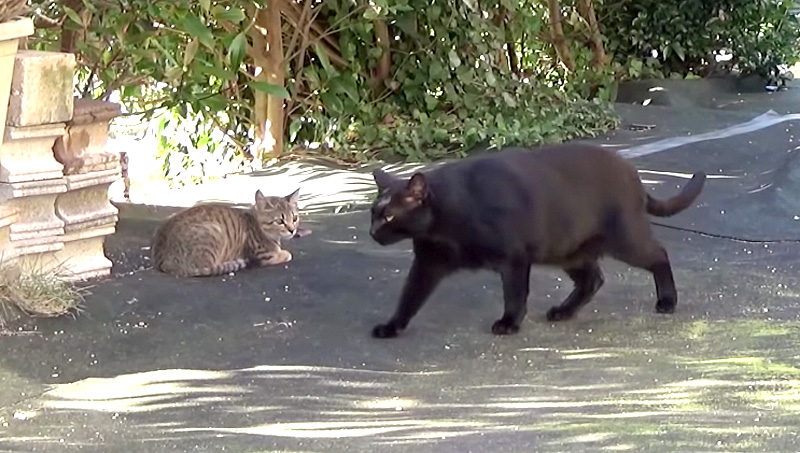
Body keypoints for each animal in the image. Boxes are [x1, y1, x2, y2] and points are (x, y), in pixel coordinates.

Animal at [151, 189, 300, 278]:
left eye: (294, 218)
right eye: (280, 221)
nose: (292, 230)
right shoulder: (263, 255)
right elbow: (285, 255)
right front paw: (285, 253)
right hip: (214, 232)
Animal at [368, 143, 708, 338]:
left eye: (389, 217)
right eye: (373, 213)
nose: (371, 232)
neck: (445, 222)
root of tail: (632, 172)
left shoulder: (514, 257)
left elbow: (515, 294)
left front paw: (508, 323)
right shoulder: (428, 263)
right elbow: (409, 298)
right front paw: (392, 326)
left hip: (625, 240)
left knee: (659, 254)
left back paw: (667, 301)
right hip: (568, 250)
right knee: (593, 279)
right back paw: (563, 311)